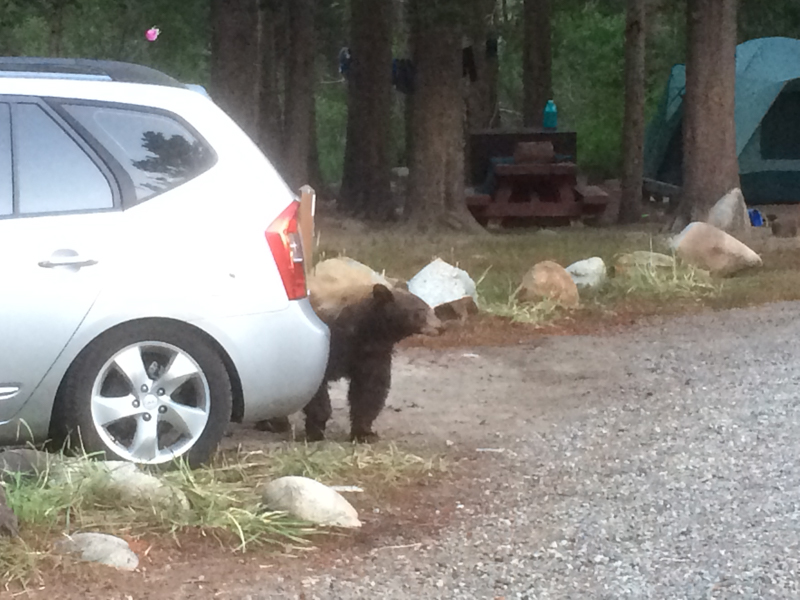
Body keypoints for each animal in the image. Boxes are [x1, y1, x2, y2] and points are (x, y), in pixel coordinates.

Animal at [257, 283, 443, 442]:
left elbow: (369, 390)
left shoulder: (372, 355)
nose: (441, 327)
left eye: (430, 308)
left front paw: (364, 432)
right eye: (420, 310)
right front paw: (315, 431)